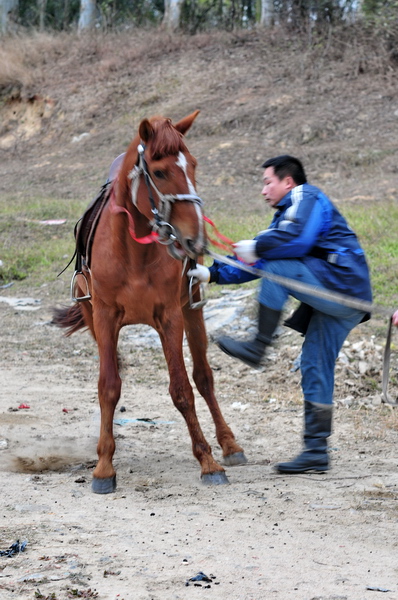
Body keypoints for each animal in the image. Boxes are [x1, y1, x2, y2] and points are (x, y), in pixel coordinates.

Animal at [52, 111, 246, 492]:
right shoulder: (104, 318)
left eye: (193, 165)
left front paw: (208, 461)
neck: (133, 253)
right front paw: (104, 465)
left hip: (192, 312)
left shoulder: (170, 317)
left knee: (204, 378)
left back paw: (229, 444)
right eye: (159, 172)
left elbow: (183, 389)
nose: (196, 239)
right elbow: (108, 387)